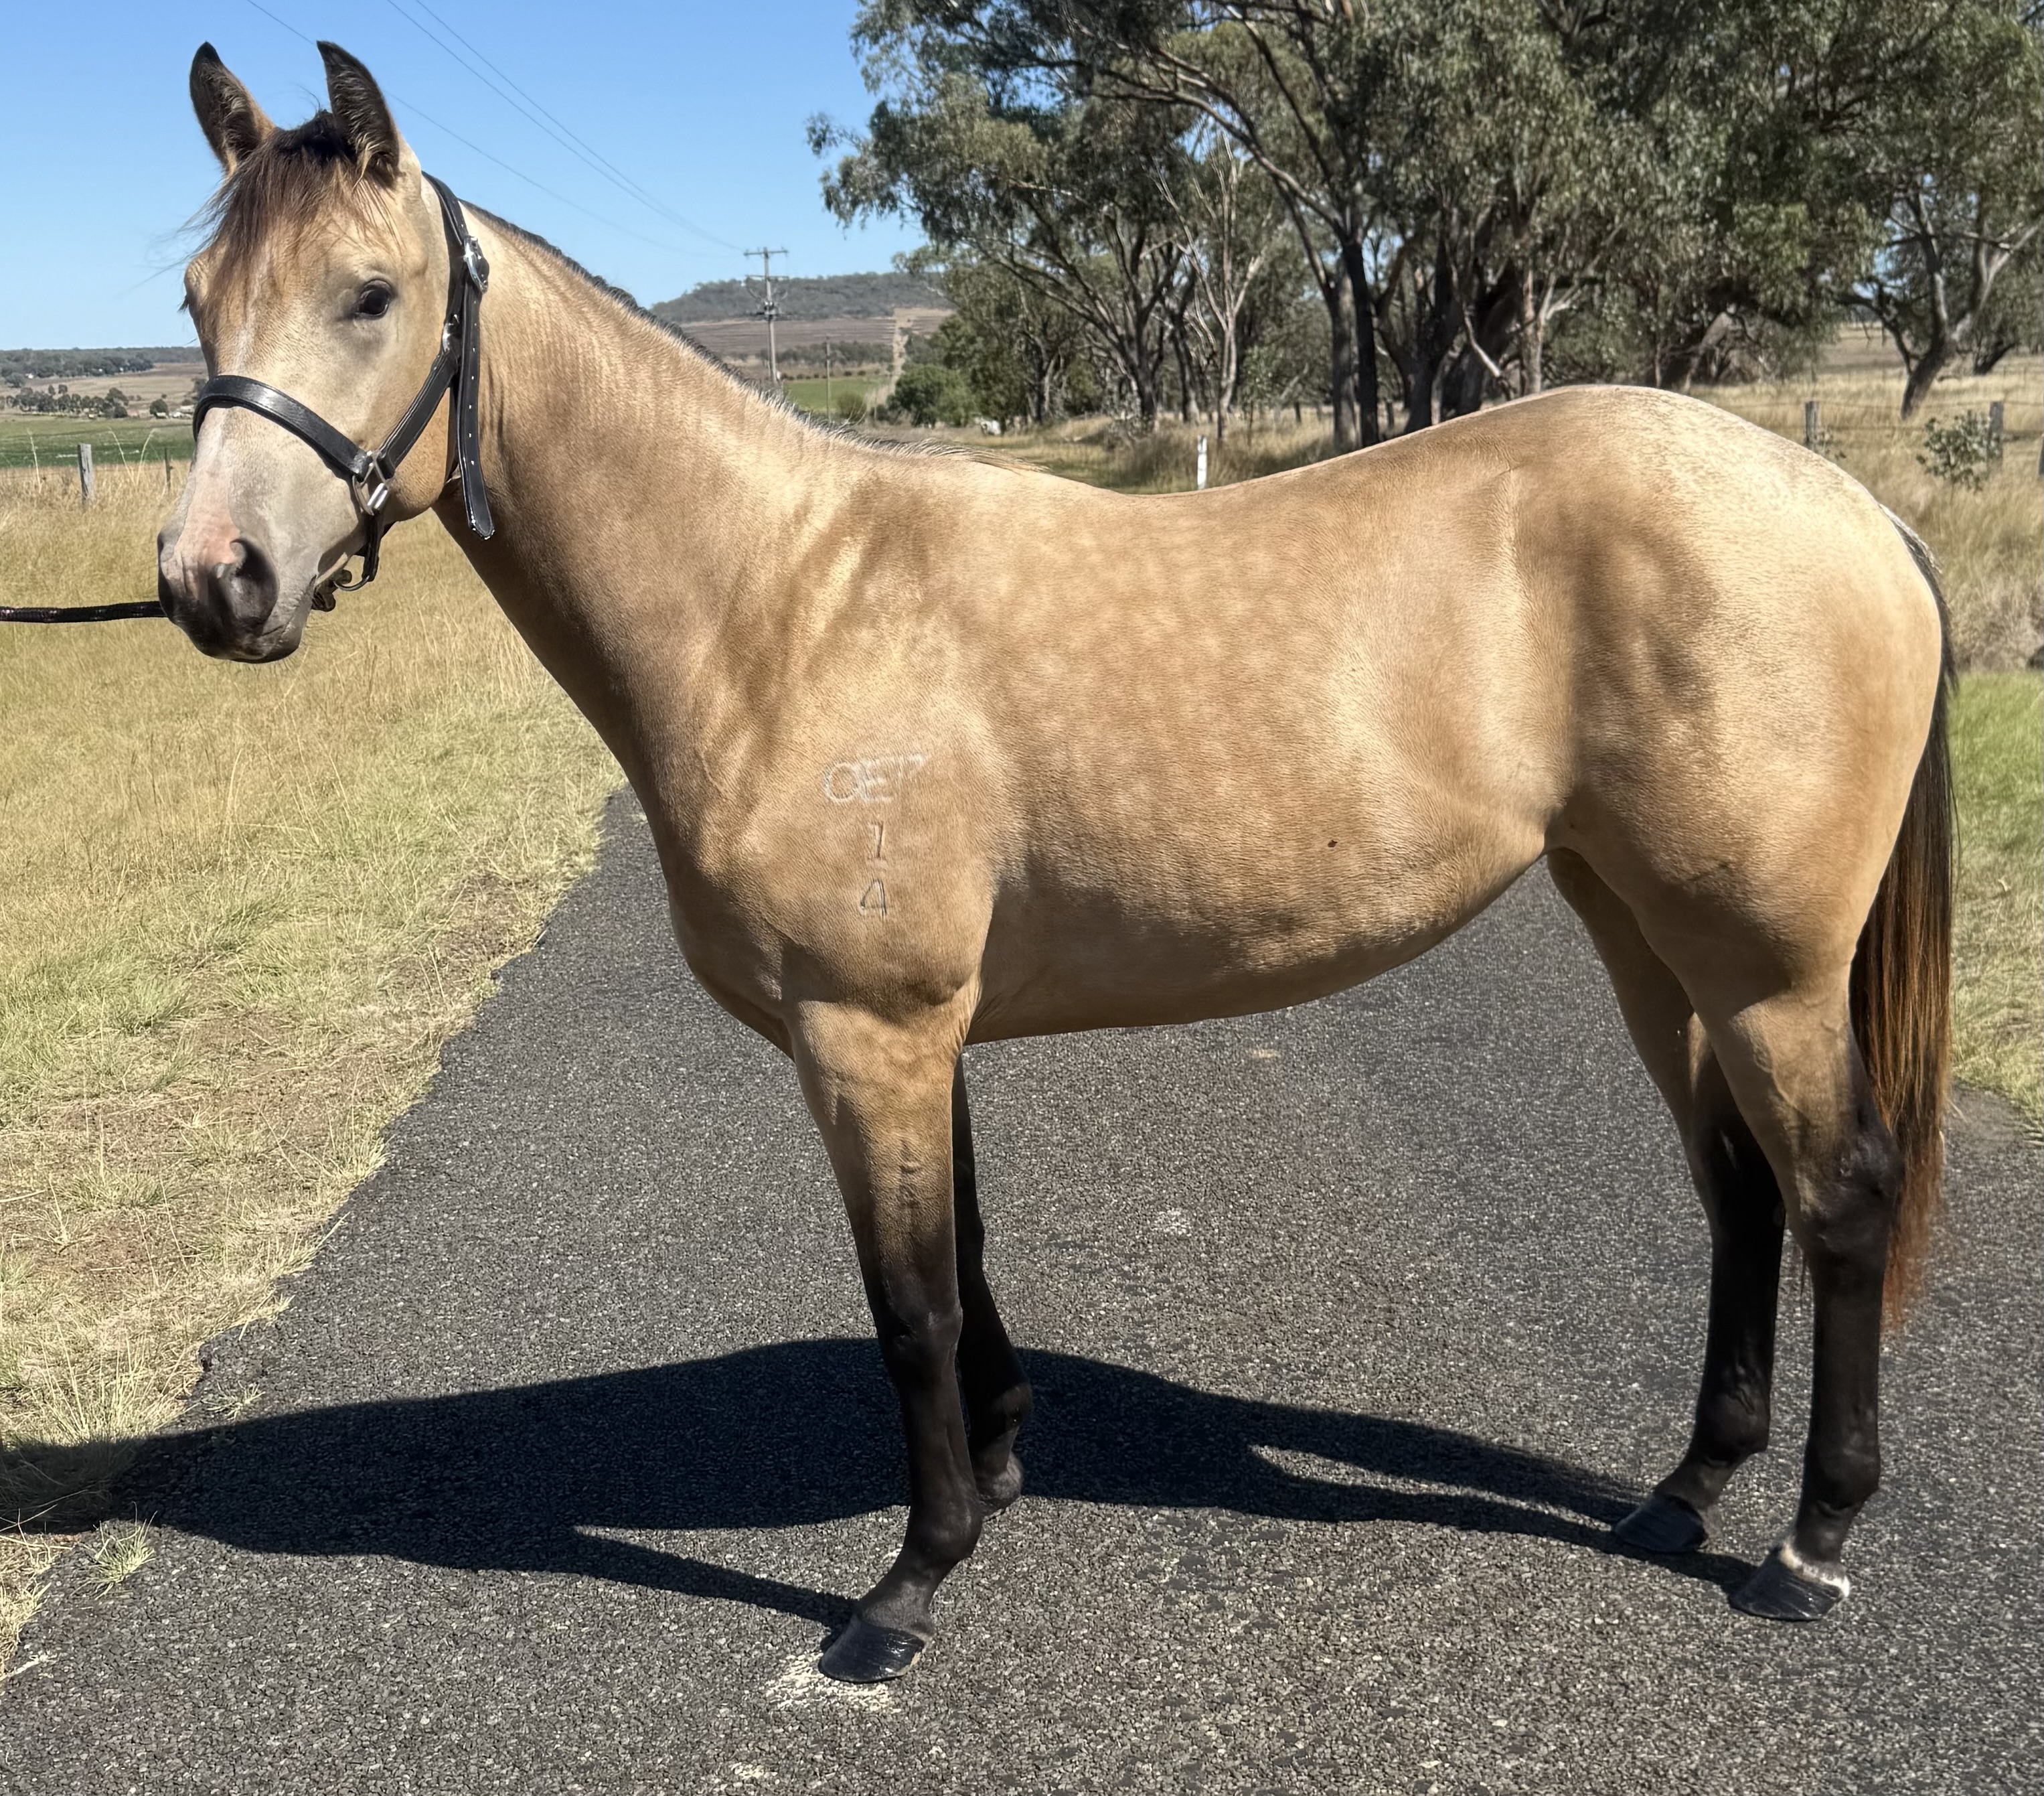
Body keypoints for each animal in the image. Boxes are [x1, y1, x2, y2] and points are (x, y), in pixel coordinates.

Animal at [156, 43, 1951, 1684]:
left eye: (371, 294)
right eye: (194, 299)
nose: (209, 581)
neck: (779, 607)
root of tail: (1849, 508)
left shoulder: (864, 1035)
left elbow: (908, 1309)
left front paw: (905, 1588)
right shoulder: (915, 1034)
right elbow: (964, 1266)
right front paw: (1004, 1464)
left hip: (1767, 967)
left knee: (1837, 1198)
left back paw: (1808, 1544)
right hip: (1646, 937)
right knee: (1738, 1193)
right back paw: (1684, 1492)